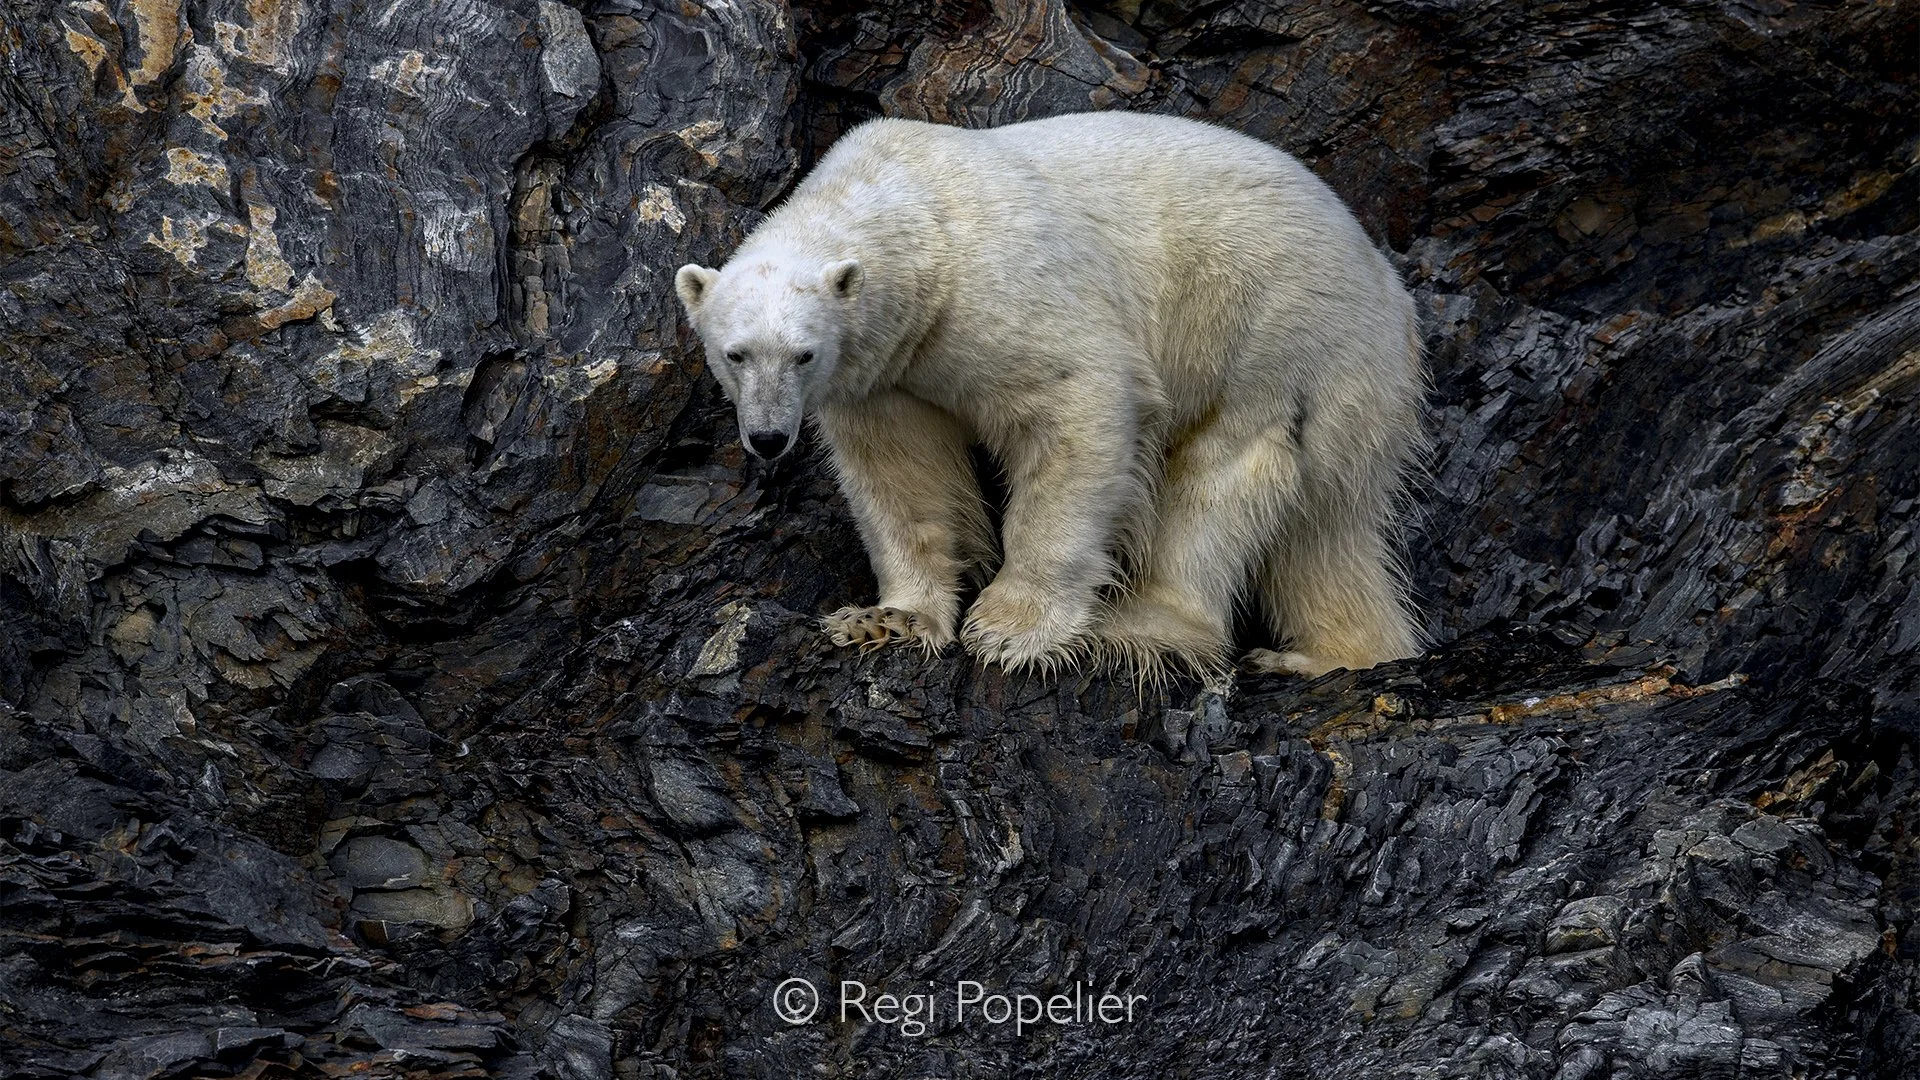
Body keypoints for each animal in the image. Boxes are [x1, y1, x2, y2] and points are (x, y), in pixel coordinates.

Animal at [674, 111, 1425, 678]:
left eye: (802, 354)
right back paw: (1333, 653)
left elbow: (1076, 406)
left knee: (1225, 470)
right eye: (735, 354)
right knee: (1325, 532)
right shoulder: (888, 371)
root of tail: (1388, 287)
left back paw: (1140, 626)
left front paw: (1011, 628)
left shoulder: (1003, 290)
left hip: (1269, 323)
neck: (917, 215)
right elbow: (900, 475)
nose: (768, 438)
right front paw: (885, 619)